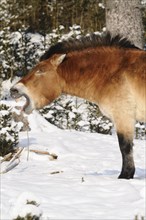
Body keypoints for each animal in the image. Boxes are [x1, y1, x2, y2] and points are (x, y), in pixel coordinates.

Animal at [10, 32, 146, 179]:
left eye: (41, 70)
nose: (14, 90)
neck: (113, 72)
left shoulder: (123, 117)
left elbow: (125, 147)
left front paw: (125, 175)